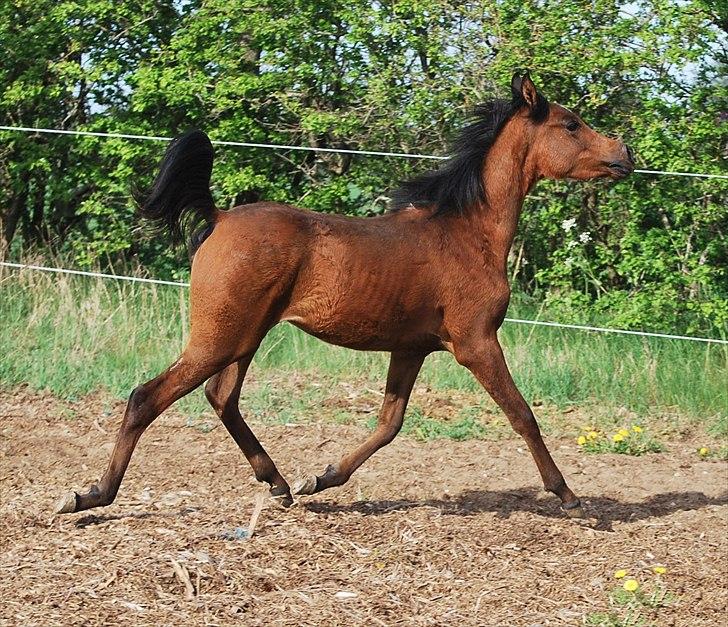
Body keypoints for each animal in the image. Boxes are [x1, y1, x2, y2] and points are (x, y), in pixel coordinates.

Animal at [55, 71, 632, 520]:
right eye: (571, 123)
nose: (624, 153)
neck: (468, 233)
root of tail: (217, 218)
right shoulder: (476, 342)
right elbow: (522, 414)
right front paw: (570, 498)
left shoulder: (411, 347)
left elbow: (389, 424)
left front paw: (321, 477)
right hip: (220, 336)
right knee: (146, 397)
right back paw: (90, 497)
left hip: (244, 336)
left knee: (222, 397)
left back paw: (280, 484)